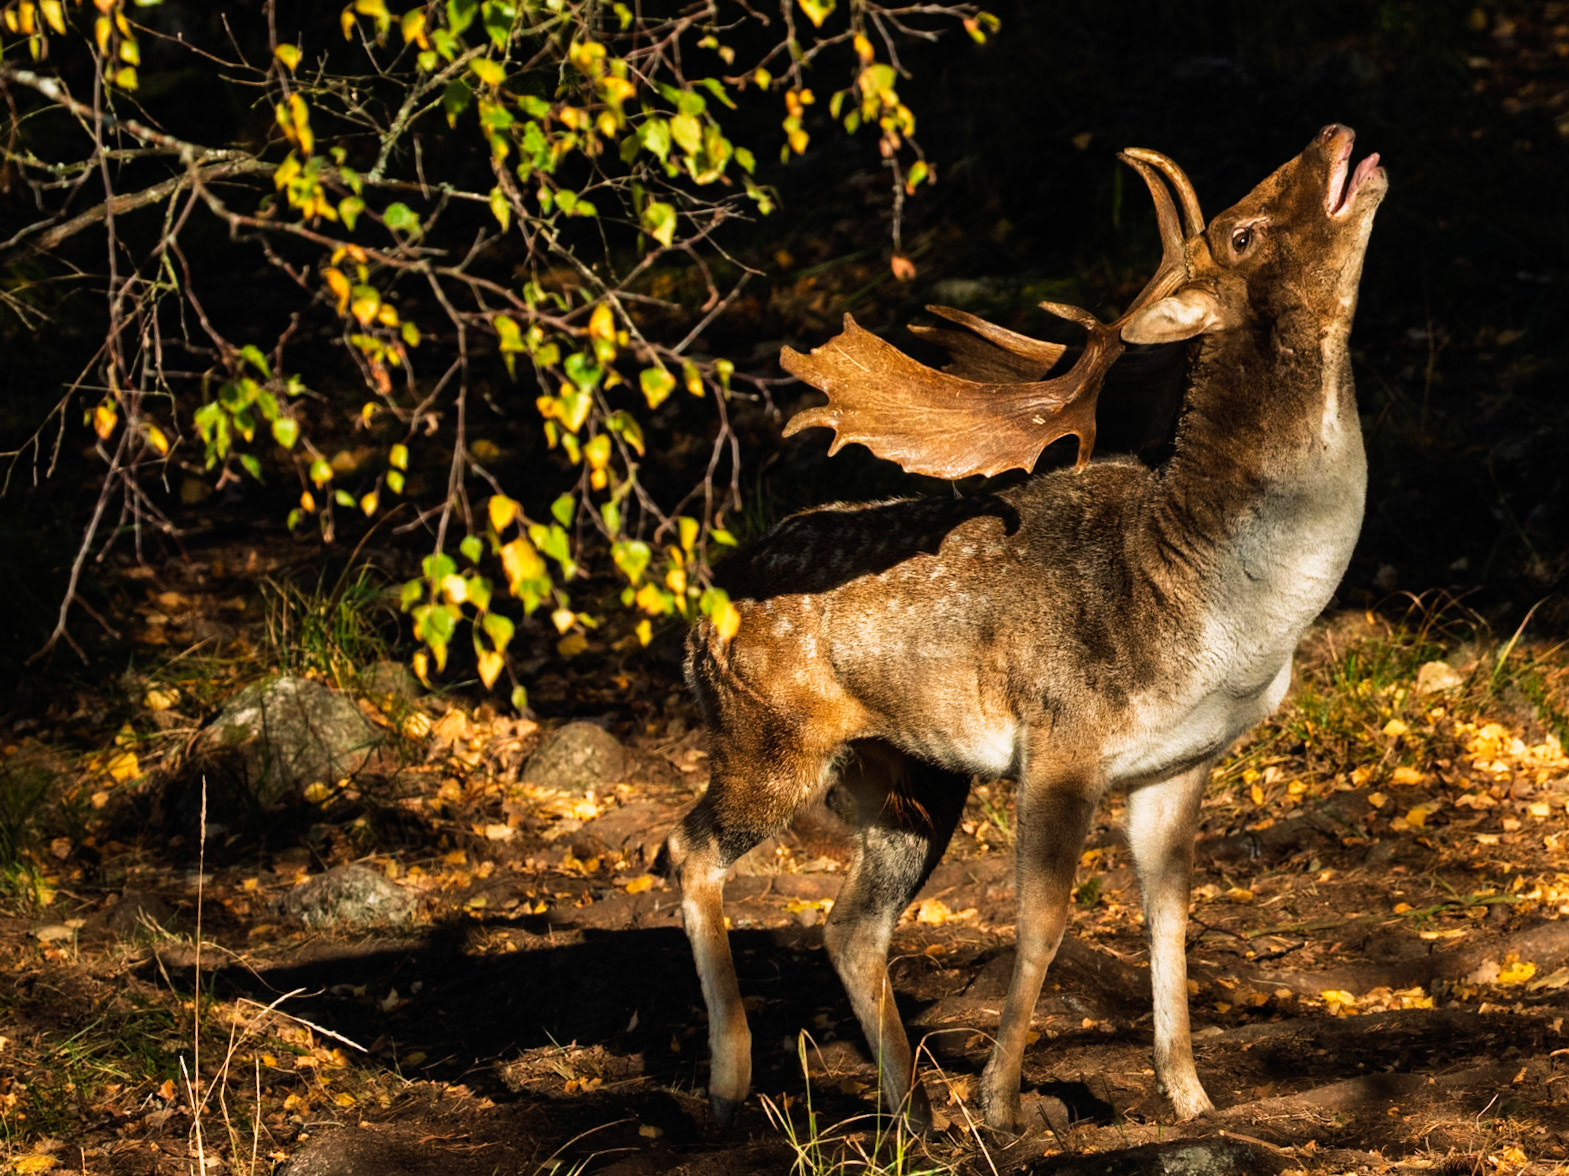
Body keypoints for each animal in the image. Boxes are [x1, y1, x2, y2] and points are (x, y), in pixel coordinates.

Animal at [658, 124, 1387, 1134]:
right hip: (766, 739)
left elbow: (1170, 917)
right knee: (685, 849)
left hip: (908, 777)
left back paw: (910, 1113)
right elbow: (1043, 918)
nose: (1334, 135)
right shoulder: (1062, 734)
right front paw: (1000, 1101)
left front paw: (1192, 1100)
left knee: (848, 924)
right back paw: (732, 1082)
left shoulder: (1177, 763)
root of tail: (697, 623)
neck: (1223, 614)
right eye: (1241, 233)